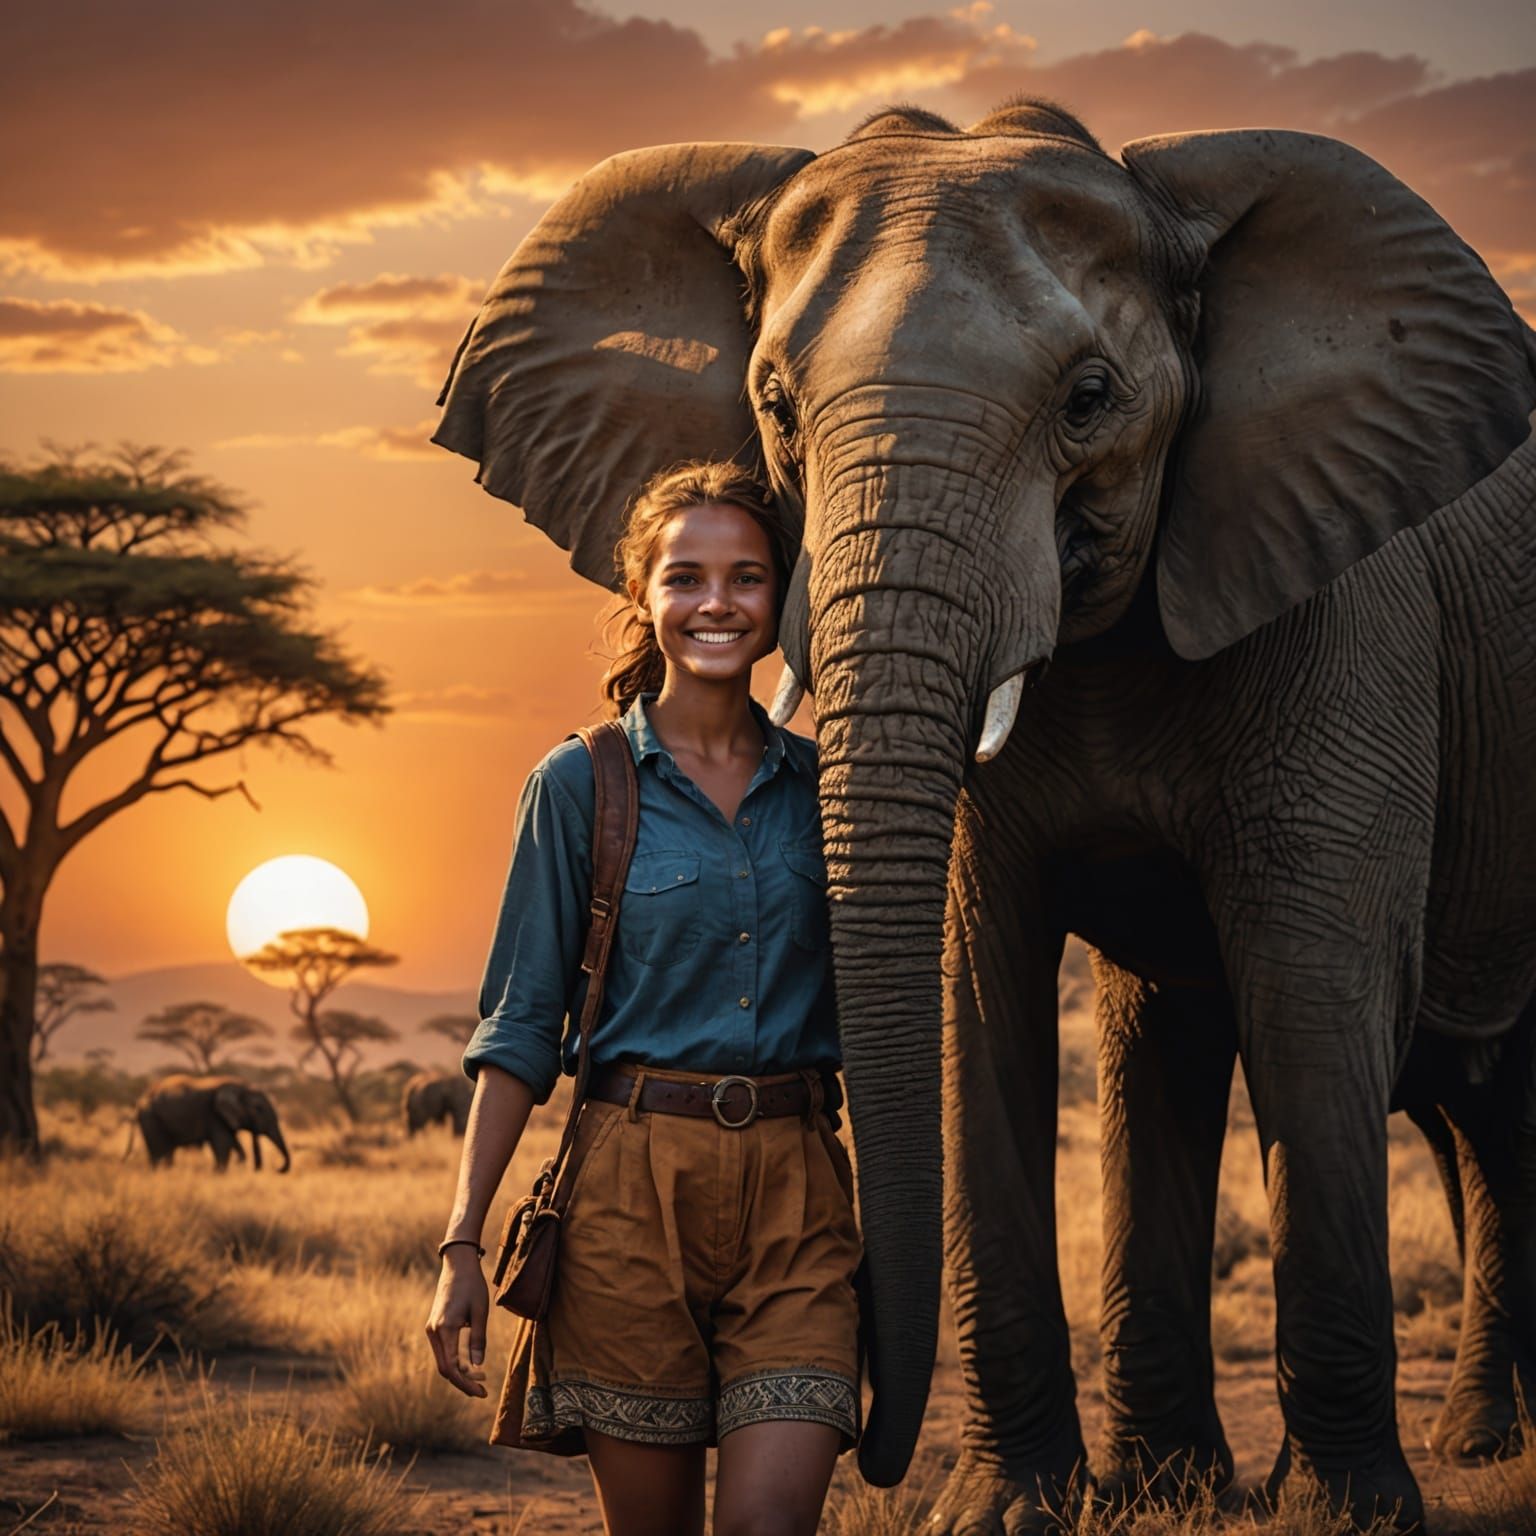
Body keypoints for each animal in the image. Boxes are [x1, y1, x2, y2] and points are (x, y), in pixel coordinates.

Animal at [133, 1073, 291, 1172]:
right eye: (258, 1109)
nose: (278, 1169)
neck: (241, 1087)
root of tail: (140, 1100)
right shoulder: (214, 1116)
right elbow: (223, 1146)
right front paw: (219, 1173)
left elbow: (230, 1142)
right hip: (151, 1119)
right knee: (159, 1153)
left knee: (166, 1153)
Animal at [431, 95, 1536, 1528]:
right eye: (775, 407)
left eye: (1089, 400)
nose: (861, 1430)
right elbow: (975, 987)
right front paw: (1015, 1508)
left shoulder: (1349, 608)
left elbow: (1314, 991)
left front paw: (1345, 1516)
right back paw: (1228, 1473)